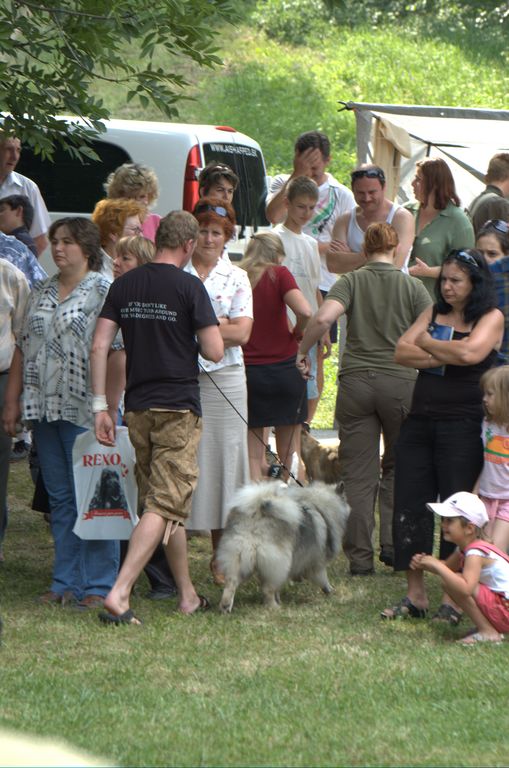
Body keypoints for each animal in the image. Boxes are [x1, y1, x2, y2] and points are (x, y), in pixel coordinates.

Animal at [214, 480, 350, 612]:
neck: (320, 508)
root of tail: (257, 514)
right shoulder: (318, 563)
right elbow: (323, 579)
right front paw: (330, 591)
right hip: (279, 562)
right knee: (267, 588)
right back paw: (274, 607)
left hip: (240, 556)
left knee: (231, 583)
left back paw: (225, 607)